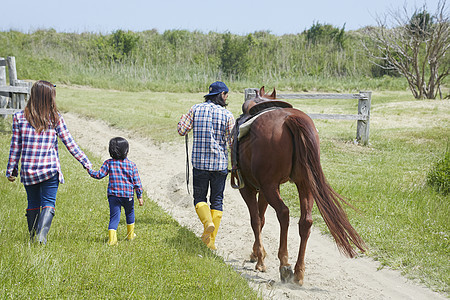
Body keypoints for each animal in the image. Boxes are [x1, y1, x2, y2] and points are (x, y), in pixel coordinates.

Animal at [234, 87, 368, 286]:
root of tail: (290, 118)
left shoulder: (250, 188)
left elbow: (256, 220)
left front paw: (260, 259)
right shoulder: (266, 190)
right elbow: (262, 219)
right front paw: (256, 254)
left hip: (271, 187)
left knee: (283, 213)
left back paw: (284, 264)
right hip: (304, 184)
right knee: (306, 221)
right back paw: (298, 271)